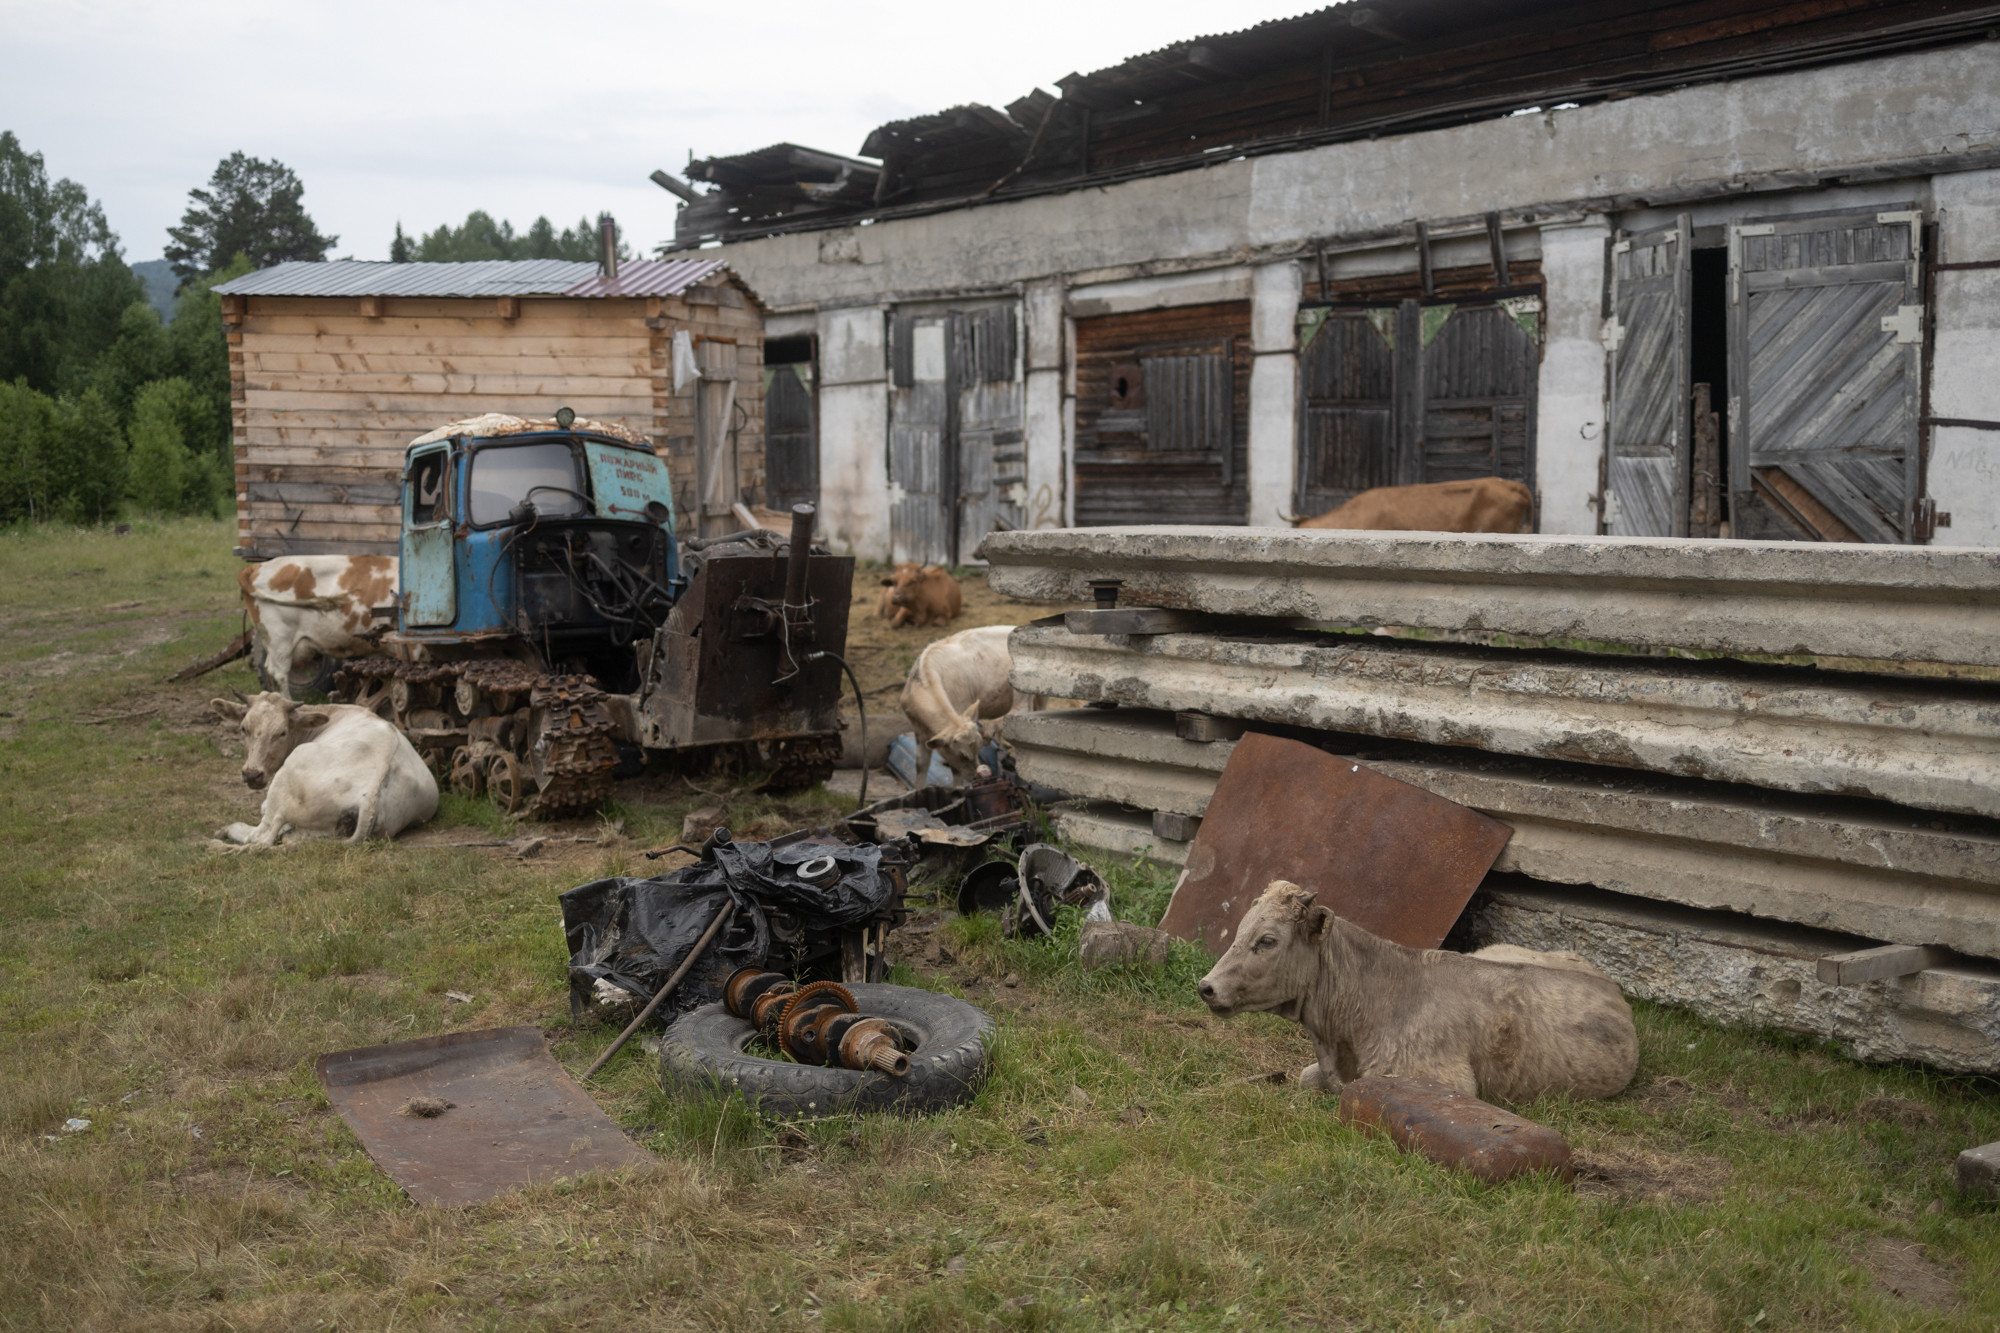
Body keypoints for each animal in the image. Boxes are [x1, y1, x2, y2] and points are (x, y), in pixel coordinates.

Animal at [210, 692, 438, 848]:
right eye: (243, 728)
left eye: (282, 732)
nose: (252, 774)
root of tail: (371, 793)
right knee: (288, 839)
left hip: (287, 778)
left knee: (261, 837)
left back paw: (221, 837)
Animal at [901, 624, 1017, 783]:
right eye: (961, 755)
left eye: (978, 748)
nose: (976, 775)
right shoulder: (919, 732)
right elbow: (920, 767)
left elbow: (956, 773)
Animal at [1197, 881, 1638, 1102]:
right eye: (1239, 930)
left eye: (1267, 940)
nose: (1206, 987)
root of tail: (1611, 984)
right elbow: (1306, 1077)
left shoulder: (1443, 1081)